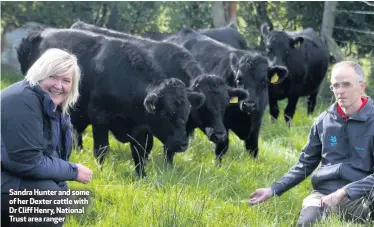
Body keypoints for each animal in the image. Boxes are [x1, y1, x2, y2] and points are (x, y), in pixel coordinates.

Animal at [16, 28, 205, 176]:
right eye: (166, 113)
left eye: (187, 112)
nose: (182, 144)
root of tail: (39, 33)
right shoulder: (99, 116)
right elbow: (102, 149)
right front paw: (100, 172)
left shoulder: (142, 127)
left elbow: (141, 152)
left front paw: (142, 176)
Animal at [165, 28, 288, 160]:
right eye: (239, 80)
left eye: (264, 82)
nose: (249, 105)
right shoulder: (221, 125)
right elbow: (221, 148)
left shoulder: (256, 124)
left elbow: (253, 148)